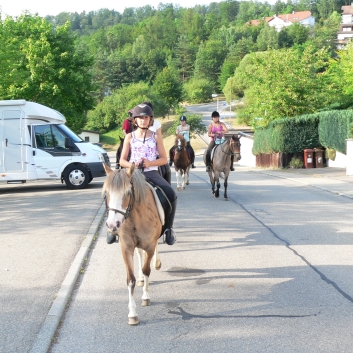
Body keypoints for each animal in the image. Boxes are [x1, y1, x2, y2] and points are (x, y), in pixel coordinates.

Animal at [102, 162, 162, 324]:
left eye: (128, 192)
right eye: (106, 193)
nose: (112, 224)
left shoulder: (150, 246)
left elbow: (147, 270)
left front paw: (146, 297)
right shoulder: (126, 248)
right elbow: (130, 280)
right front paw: (132, 314)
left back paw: (156, 263)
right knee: (139, 254)